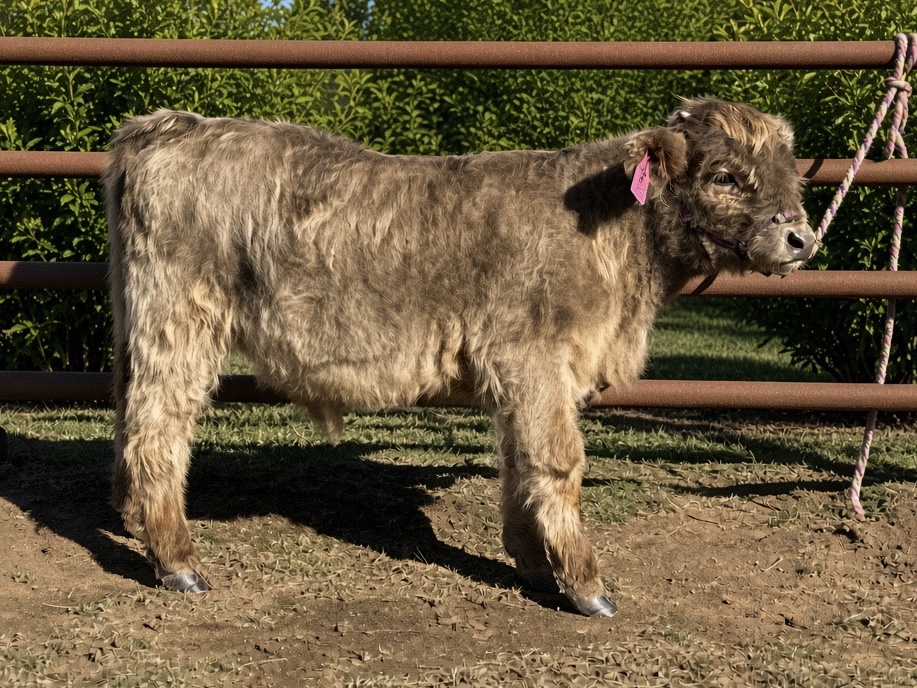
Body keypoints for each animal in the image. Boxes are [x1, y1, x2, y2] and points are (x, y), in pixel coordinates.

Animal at [105, 98, 817, 618]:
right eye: (723, 176)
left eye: (790, 172)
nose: (802, 237)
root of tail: (171, 126)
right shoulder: (534, 362)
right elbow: (556, 463)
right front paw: (583, 583)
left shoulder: (523, 378)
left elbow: (518, 464)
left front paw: (533, 562)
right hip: (180, 323)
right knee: (156, 431)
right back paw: (178, 563)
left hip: (136, 325)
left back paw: (134, 520)